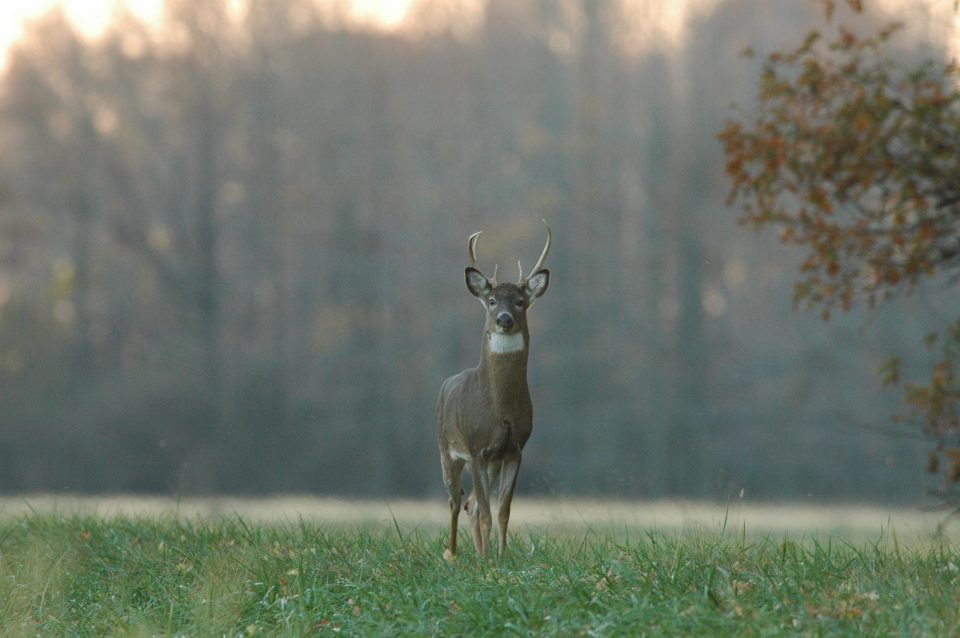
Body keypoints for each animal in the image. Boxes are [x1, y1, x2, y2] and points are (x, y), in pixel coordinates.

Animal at [436, 220, 552, 560]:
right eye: (491, 301)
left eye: (520, 301)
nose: (504, 319)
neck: (501, 407)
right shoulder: (476, 448)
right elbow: (488, 512)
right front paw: (488, 561)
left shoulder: (514, 449)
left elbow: (503, 511)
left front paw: (498, 559)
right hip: (447, 449)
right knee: (455, 500)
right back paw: (453, 554)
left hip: (491, 462)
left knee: (470, 503)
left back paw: (478, 554)